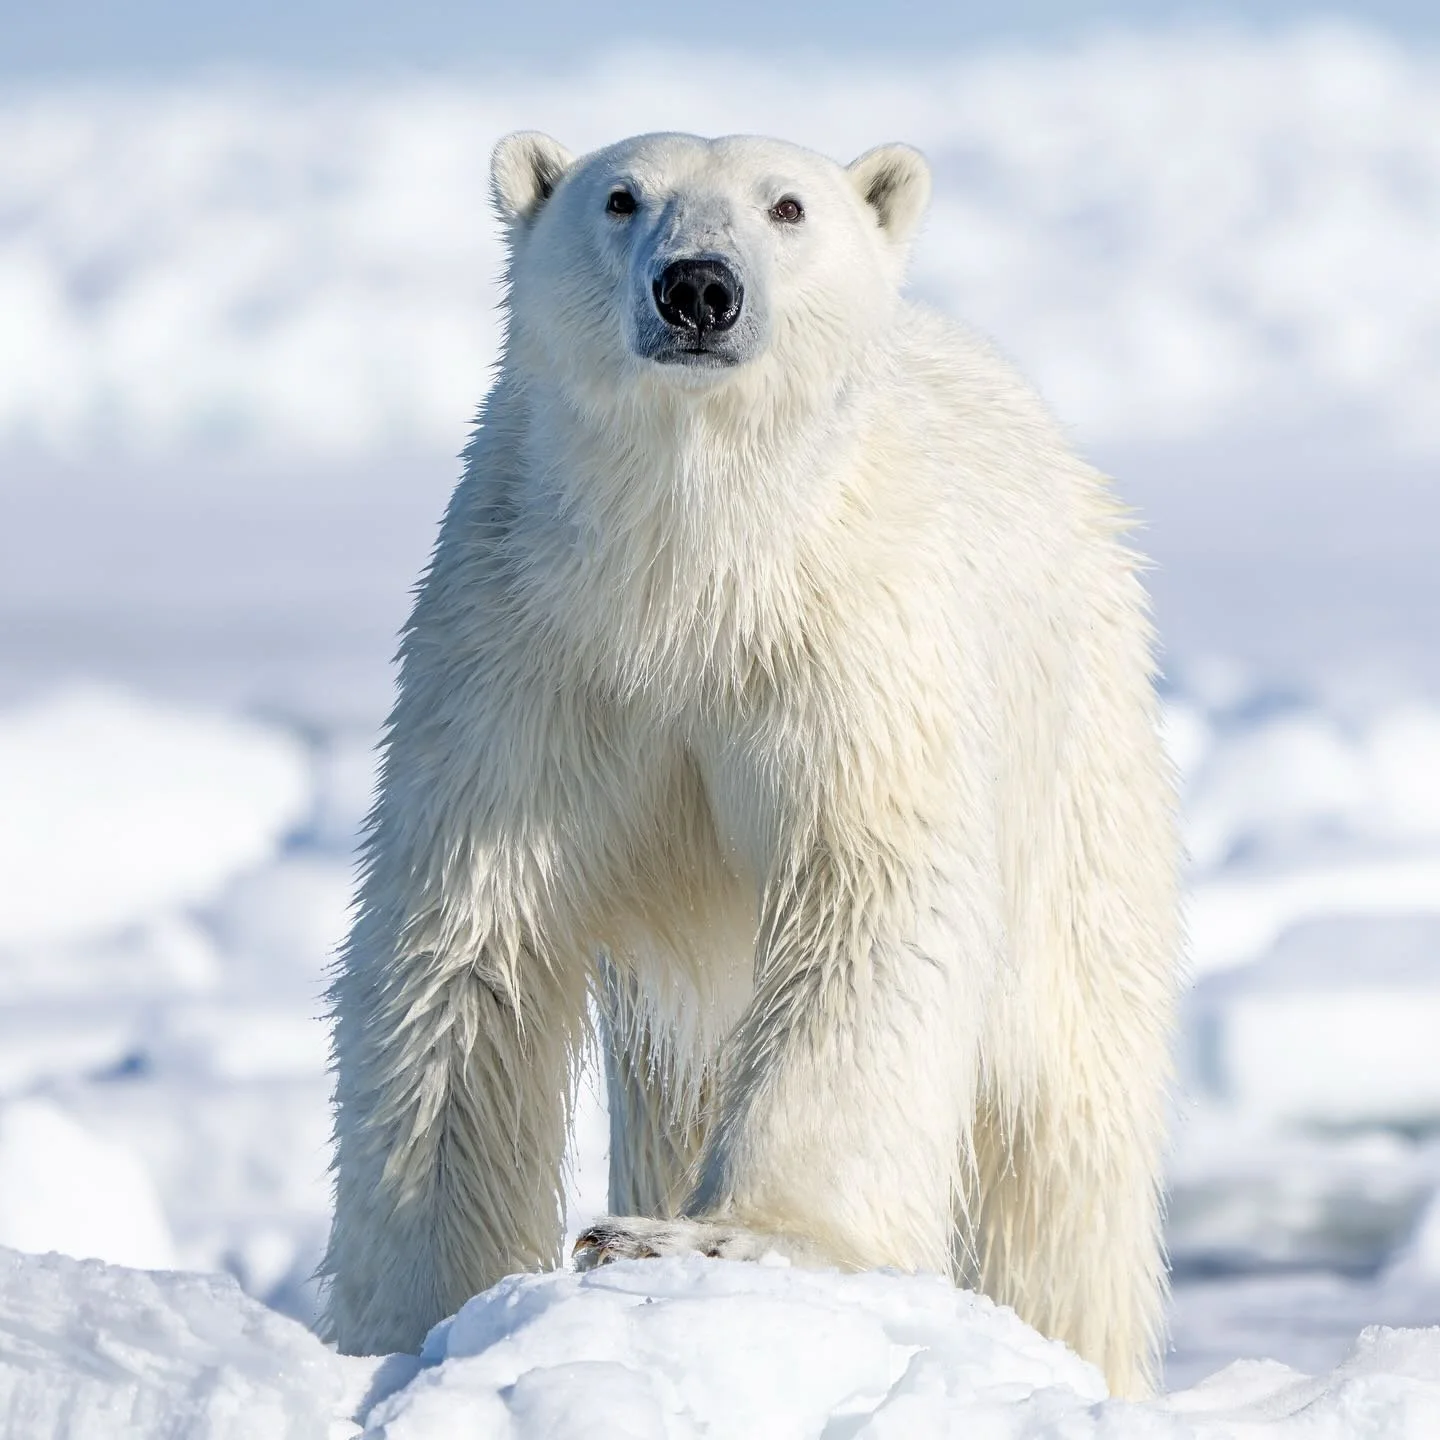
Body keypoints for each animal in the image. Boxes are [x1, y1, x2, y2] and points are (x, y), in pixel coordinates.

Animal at [319, 129, 1181, 1399]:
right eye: (620, 197)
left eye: (788, 206)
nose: (699, 288)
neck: (693, 568)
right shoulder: (521, 651)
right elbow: (468, 952)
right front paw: (411, 1315)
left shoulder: (854, 650)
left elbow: (868, 904)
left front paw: (716, 1239)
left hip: (1081, 767)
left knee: (1067, 1135)